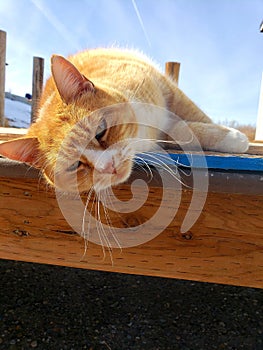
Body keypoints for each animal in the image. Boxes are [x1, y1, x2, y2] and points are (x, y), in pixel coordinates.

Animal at [0, 48, 250, 193]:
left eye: (100, 132)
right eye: (74, 166)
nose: (108, 166)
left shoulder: (168, 91)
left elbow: (191, 118)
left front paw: (234, 138)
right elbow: (181, 130)